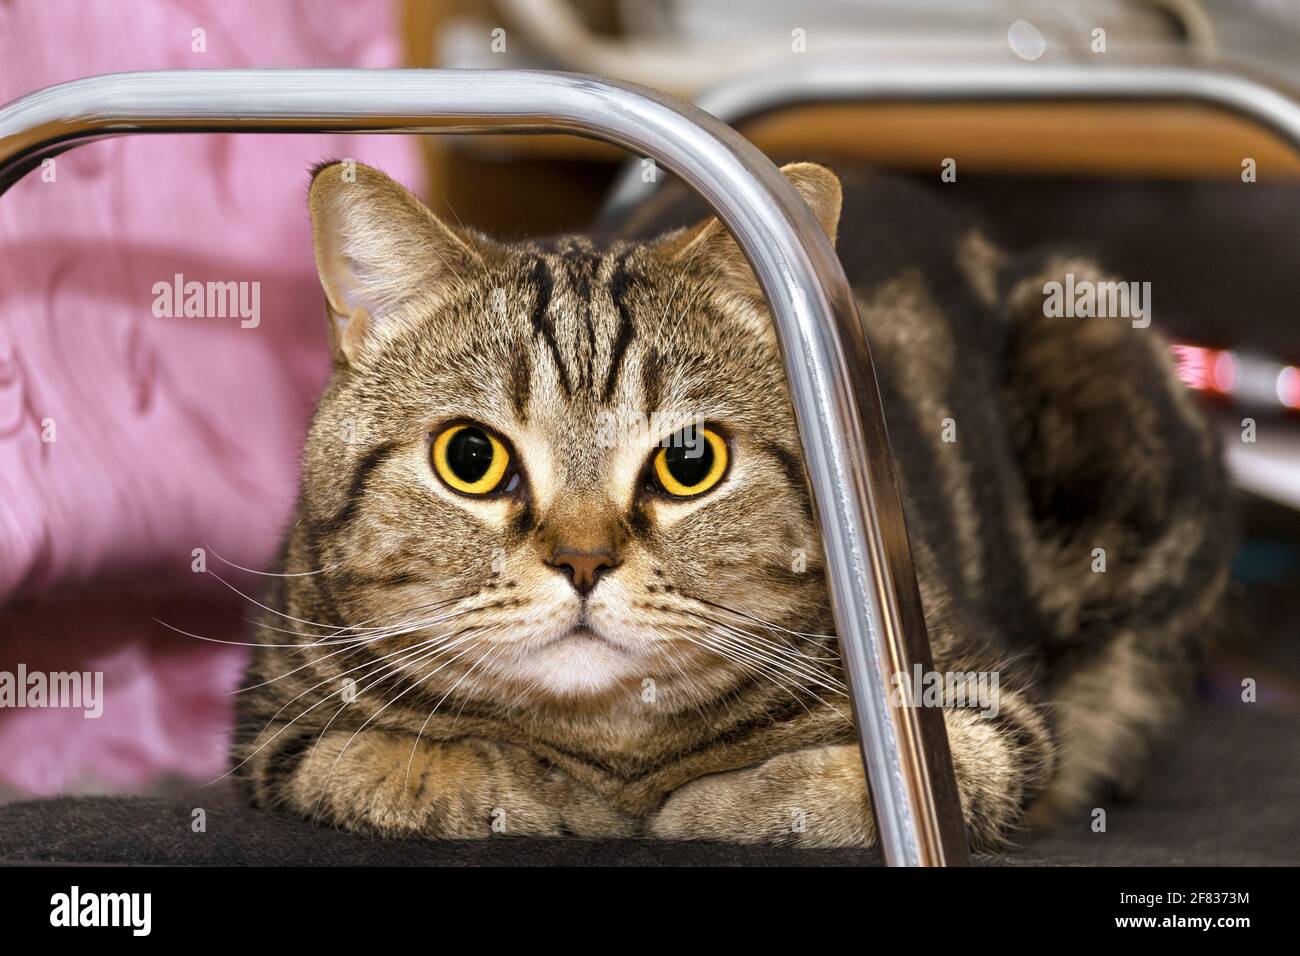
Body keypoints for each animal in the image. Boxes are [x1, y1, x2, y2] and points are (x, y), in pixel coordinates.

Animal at [228, 158, 1232, 853]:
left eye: (689, 461)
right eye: (470, 458)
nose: (584, 561)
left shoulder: (983, 716)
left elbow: (823, 786)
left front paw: (696, 801)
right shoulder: (271, 730)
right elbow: (397, 763)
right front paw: (543, 790)